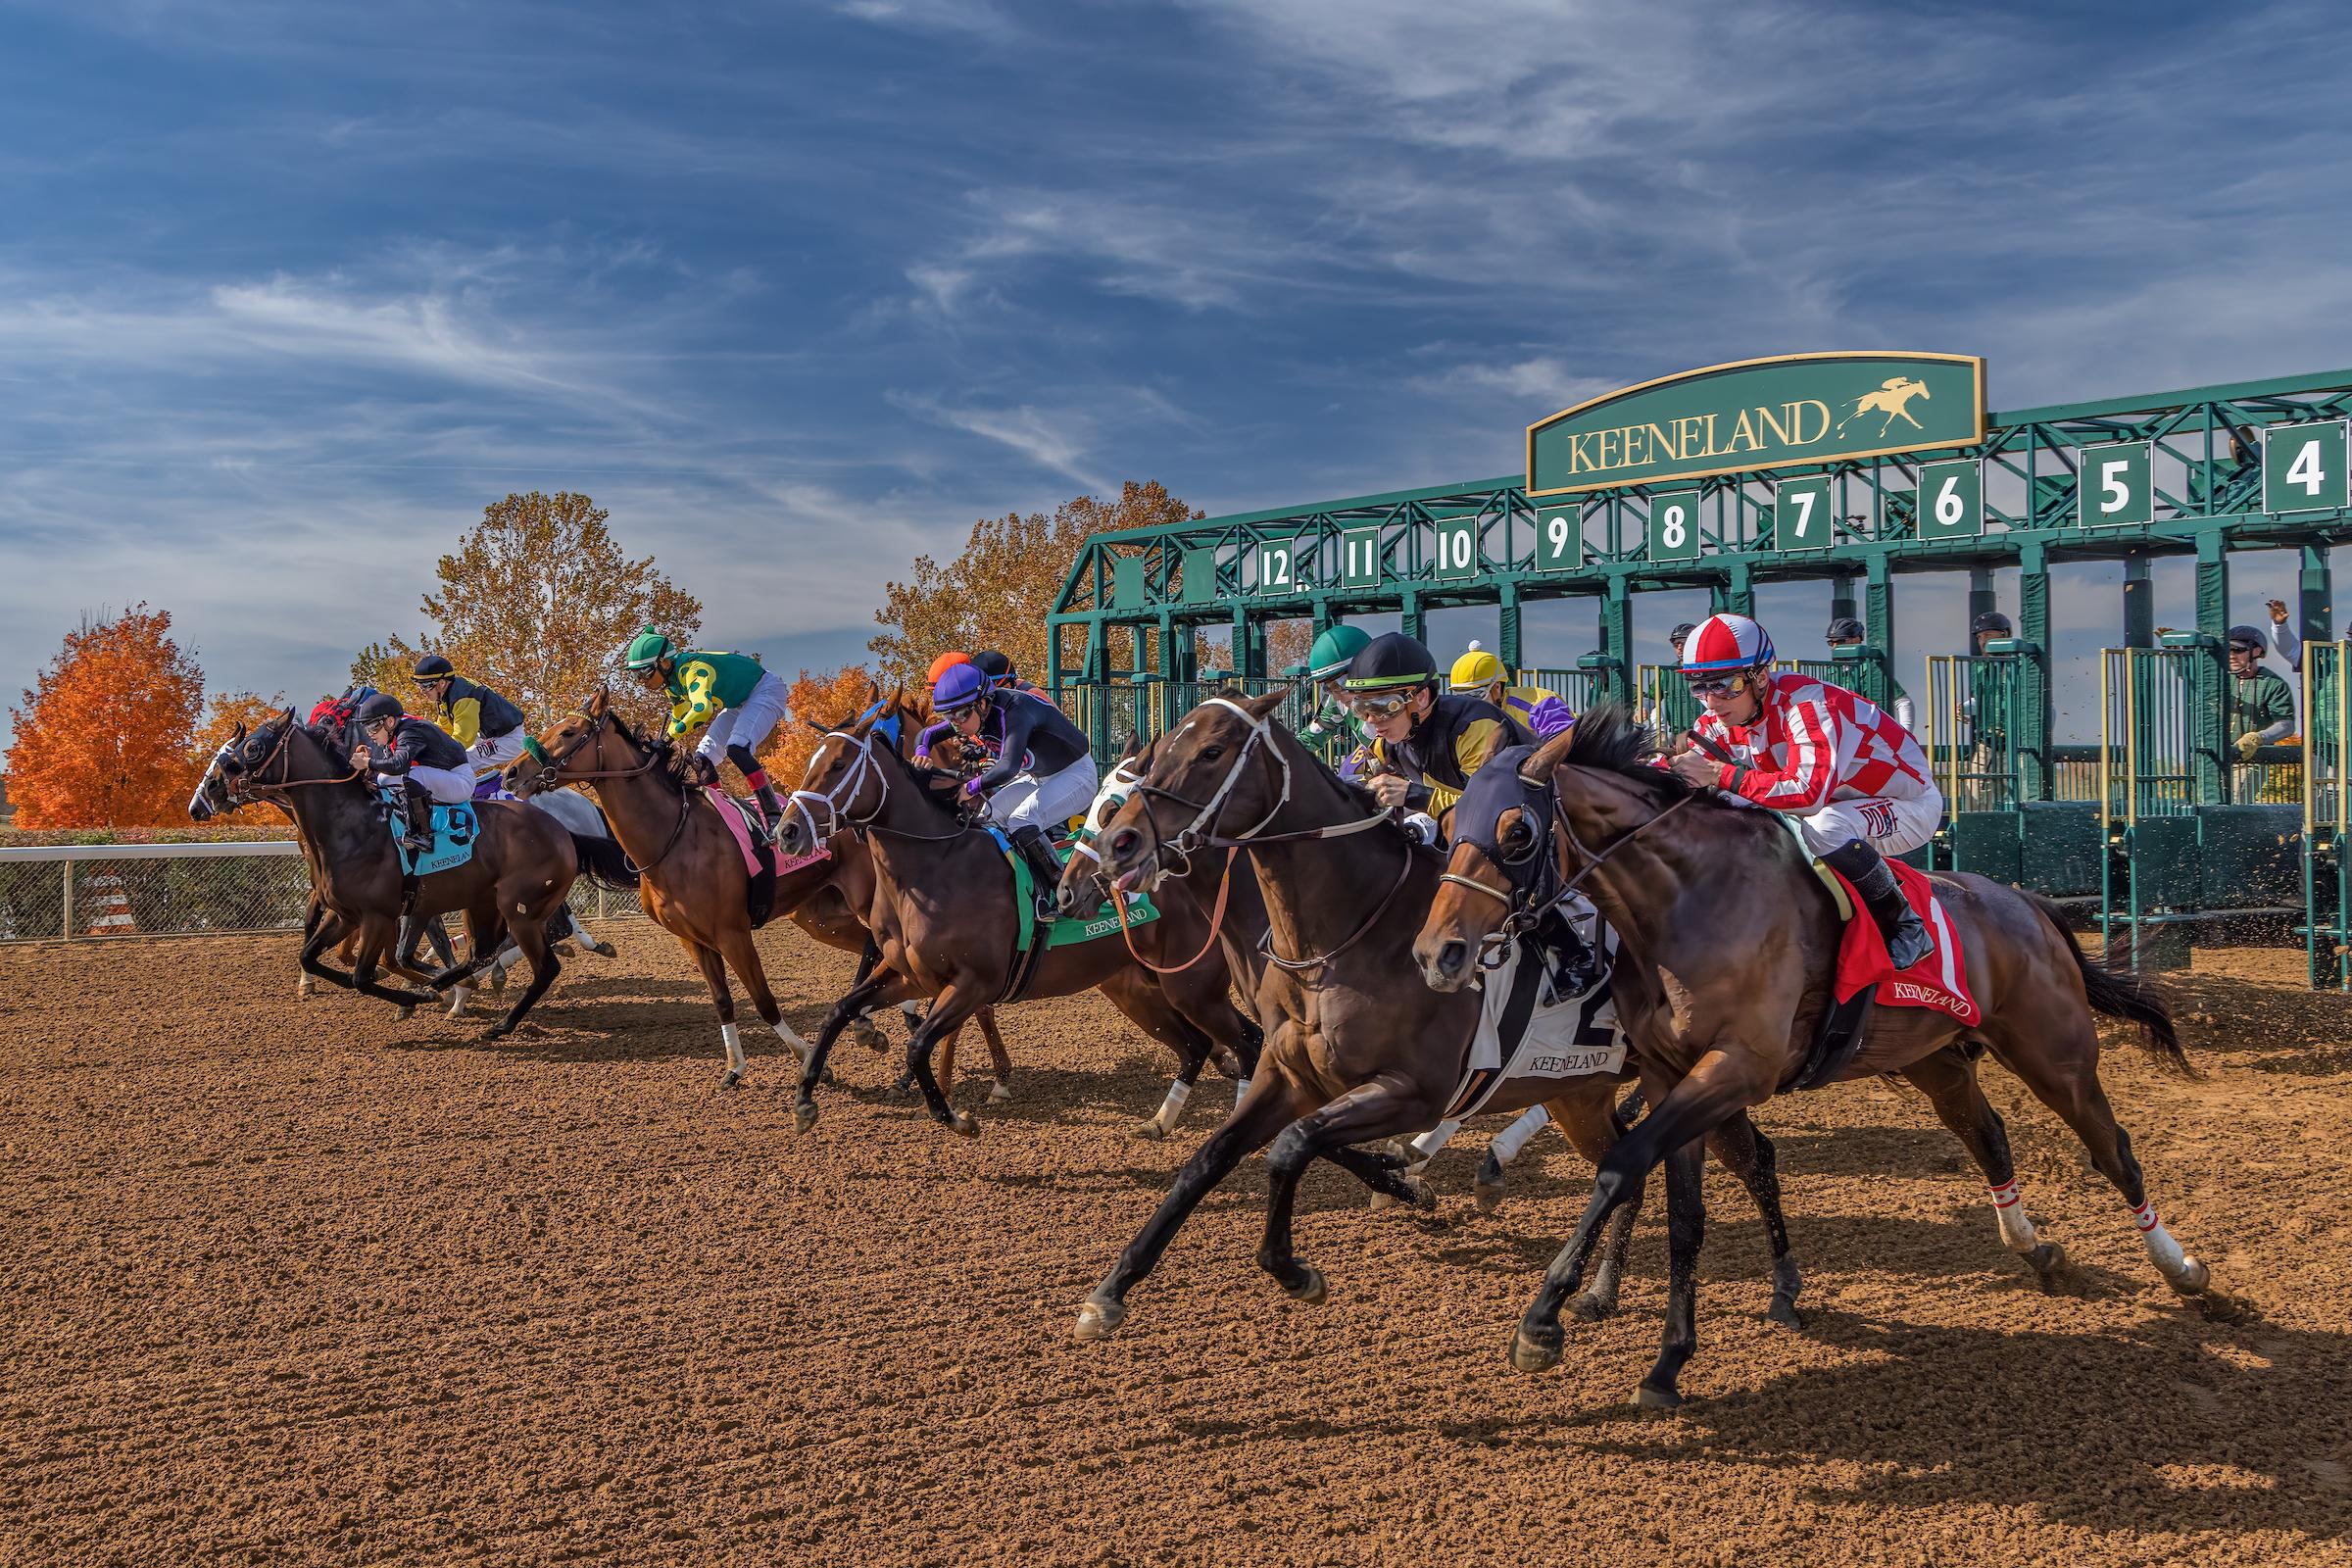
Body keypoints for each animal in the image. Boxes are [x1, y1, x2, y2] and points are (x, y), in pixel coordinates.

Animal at [202, 714, 588, 1034]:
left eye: (252, 747)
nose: (213, 788)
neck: (352, 825)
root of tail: (562, 831)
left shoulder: (378, 916)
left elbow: (362, 976)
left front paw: (413, 995)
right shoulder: (346, 914)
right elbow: (313, 956)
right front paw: (419, 991)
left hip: (519, 909)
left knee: (545, 965)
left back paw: (497, 1020)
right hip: (483, 905)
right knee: (481, 953)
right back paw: (448, 986)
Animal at [771, 700, 1260, 1142]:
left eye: (838, 764)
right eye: (813, 761)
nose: (786, 831)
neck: (934, 865)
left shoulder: (973, 983)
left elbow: (918, 1045)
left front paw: (954, 1115)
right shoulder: (908, 974)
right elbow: (839, 1011)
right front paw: (805, 1100)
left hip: (1192, 986)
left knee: (1249, 1041)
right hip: (1138, 989)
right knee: (1198, 1045)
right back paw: (1161, 1121)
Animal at [1067, 691, 1796, 1345]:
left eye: (1212, 752)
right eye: (1160, 750)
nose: (1119, 846)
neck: (1348, 933)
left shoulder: (1413, 1091)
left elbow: (1295, 1146)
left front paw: (1301, 1265)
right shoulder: (1290, 1075)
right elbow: (1211, 1158)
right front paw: (1111, 1291)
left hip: (1706, 1074)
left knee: (1753, 1156)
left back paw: (1785, 1289)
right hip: (1582, 1090)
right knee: (1625, 1162)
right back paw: (1599, 1289)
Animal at [1411, 710, 2238, 1410]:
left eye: (1518, 831)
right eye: (1449, 823)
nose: (1437, 953)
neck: (1688, 904)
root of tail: (2027, 905)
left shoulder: (1735, 1070)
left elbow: (1621, 1168)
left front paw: (1543, 1320)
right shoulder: (1672, 1073)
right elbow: (1684, 1215)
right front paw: (1669, 1362)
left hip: (2055, 1054)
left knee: (2114, 1151)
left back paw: (2186, 1272)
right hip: (1937, 1063)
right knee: (1989, 1138)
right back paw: (2036, 1251)